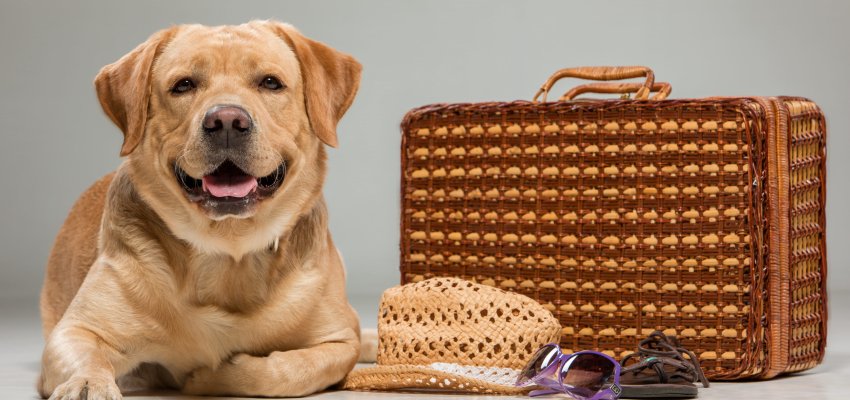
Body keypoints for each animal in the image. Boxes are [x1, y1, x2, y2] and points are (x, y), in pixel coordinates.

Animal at [38, 20, 362, 398]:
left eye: (270, 82)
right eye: (184, 85)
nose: (227, 121)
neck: (228, 252)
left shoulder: (341, 341)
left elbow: (285, 371)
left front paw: (213, 376)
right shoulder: (76, 330)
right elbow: (88, 356)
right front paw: (88, 384)